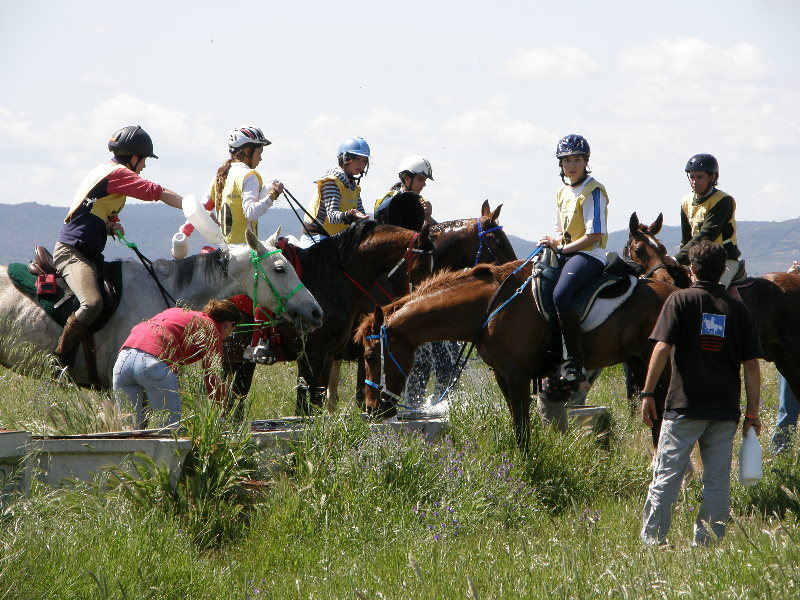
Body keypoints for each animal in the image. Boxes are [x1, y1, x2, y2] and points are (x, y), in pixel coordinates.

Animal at [222, 202, 520, 418]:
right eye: (498, 241)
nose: (513, 268)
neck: (332, 278)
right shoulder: (315, 355)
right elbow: (307, 408)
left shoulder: (332, 355)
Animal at [356, 260, 676, 448]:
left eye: (371, 356)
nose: (371, 409)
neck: (487, 307)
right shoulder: (502, 373)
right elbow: (517, 425)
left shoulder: (516, 372)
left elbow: (522, 428)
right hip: (640, 365)